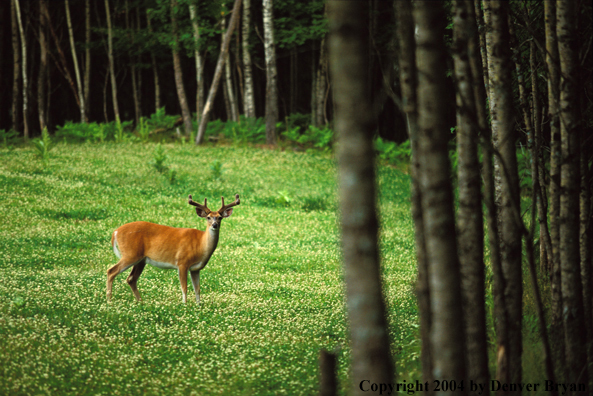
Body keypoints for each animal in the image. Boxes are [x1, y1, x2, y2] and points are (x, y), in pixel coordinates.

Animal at [106, 194, 238, 304]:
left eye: (220, 217)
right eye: (208, 217)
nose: (215, 225)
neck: (200, 245)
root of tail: (115, 232)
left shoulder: (196, 269)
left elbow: (197, 289)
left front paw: (198, 306)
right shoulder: (182, 262)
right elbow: (184, 287)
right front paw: (185, 305)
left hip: (141, 260)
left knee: (131, 279)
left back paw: (141, 302)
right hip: (130, 254)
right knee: (111, 271)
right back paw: (109, 301)